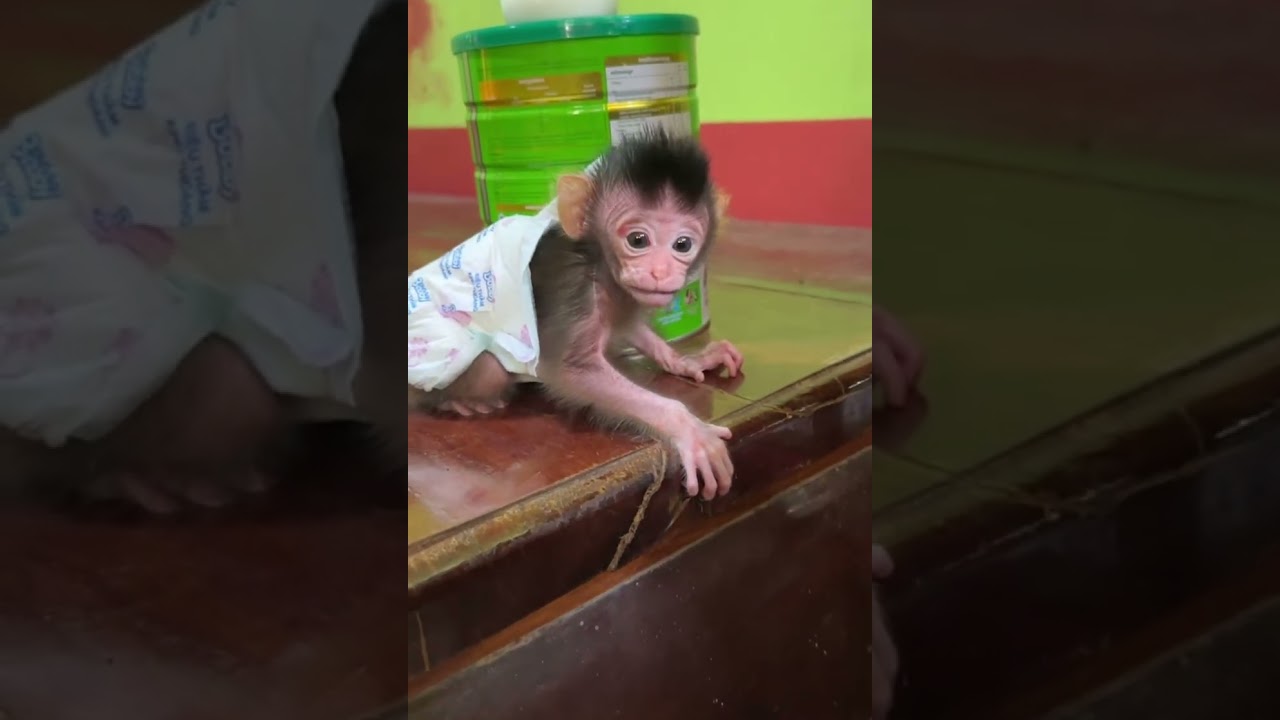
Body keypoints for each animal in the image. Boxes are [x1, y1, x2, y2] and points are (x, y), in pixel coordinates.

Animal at [408, 129, 745, 500]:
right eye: (637, 239)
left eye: (682, 245)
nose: (660, 272)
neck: (598, 260)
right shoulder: (575, 286)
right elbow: (574, 371)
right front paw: (688, 429)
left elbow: (628, 327)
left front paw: (688, 360)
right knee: (486, 370)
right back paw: (457, 403)